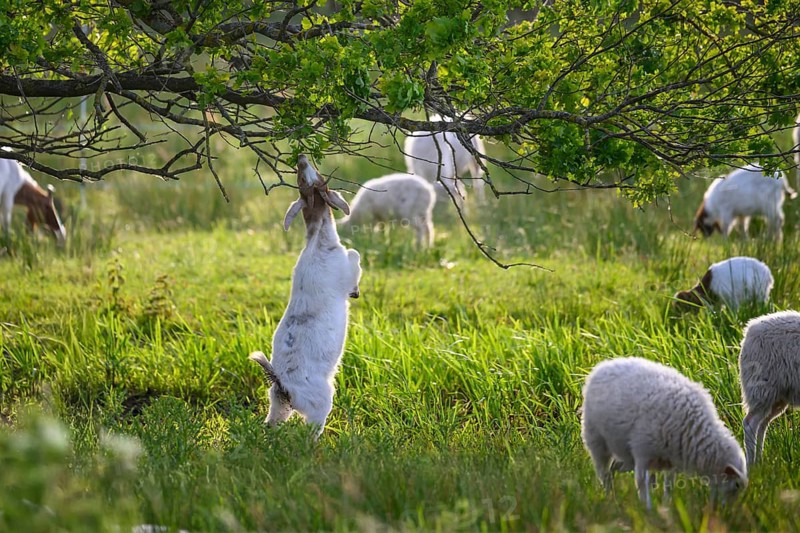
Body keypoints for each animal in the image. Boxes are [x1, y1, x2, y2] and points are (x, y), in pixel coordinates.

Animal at [249, 155, 362, 437]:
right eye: (309, 179)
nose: (301, 159)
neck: (318, 238)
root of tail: (282, 383)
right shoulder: (345, 270)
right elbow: (354, 255)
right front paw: (356, 292)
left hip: (277, 405)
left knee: (272, 422)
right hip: (321, 402)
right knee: (311, 430)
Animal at [582, 357, 747, 509]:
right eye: (737, 485)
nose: (726, 511)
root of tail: (603, 365)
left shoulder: (672, 458)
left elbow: (669, 485)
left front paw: (668, 505)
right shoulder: (642, 452)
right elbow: (641, 483)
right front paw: (647, 509)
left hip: (625, 454)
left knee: (614, 468)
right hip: (596, 440)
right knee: (604, 473)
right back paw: (610, 496)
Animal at [739, 310, 800, 468]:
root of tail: (749, 330)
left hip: (777, 397)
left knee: (762, 424)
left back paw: (760, 462)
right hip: (762, 390)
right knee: (750, 424)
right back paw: (751, 465)